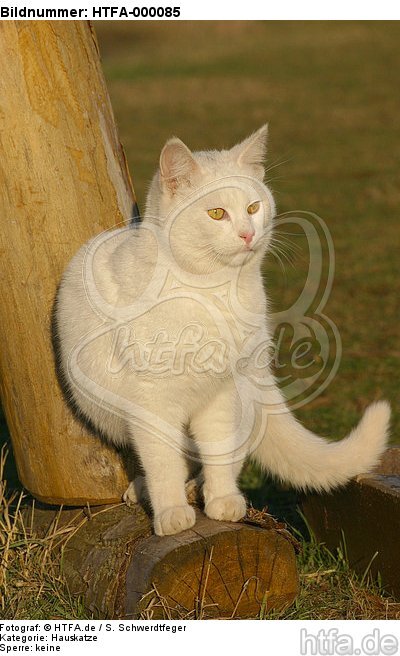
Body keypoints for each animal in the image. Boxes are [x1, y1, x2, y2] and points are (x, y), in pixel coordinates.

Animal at [56, 125, 390, 536]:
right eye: (217, 213)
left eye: (253, 208)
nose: (248, 234)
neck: (214, 292)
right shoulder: (152, 402)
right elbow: (162, 462)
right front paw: (170, 511)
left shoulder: (221, 394)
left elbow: (219, 450)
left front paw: (221, 499)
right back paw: (150, 490)